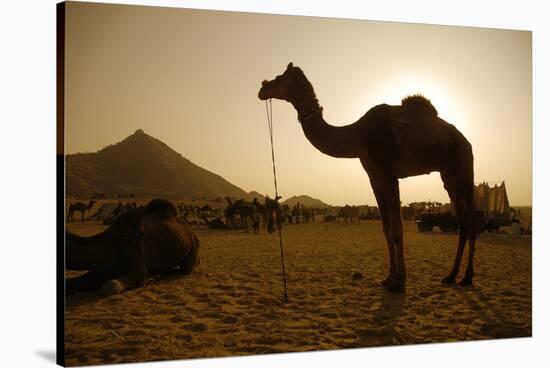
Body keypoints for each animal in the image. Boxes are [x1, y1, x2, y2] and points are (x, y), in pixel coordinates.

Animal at [67, 198, 201, 296]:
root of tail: (189, 229)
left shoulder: (138, 263)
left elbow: (109, 286)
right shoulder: (101, 268)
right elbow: (71, 282)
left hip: (194, 244)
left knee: (185, 269)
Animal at [258, 64, 478, 294]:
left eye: (279, 77)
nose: (262, 89)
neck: (358, 135)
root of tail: (466, 141)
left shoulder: (389, 174)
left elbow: (397, 229)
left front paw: (400, 282)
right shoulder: (375, 178)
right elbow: (386, 229)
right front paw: (389, 278)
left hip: (464, 168)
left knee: (471, 222)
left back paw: (467, 278)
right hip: (448, 177)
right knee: (463, 223)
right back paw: (451, 276)